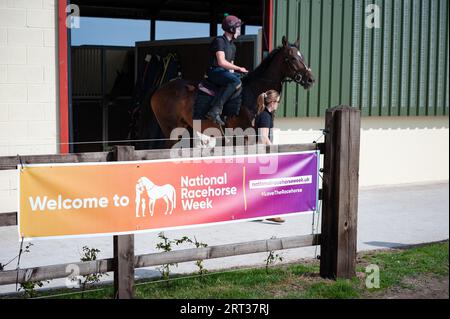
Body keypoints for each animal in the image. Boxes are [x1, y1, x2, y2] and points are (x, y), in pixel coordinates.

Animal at [149, 36, 314, 148]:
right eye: (292, 58)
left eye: (302, 56)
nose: (310, 79)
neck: (254, 92)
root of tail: (159, 91)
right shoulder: (242, 135)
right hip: (172, 131)